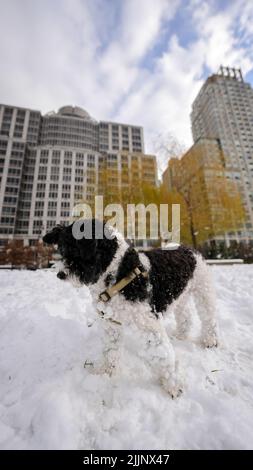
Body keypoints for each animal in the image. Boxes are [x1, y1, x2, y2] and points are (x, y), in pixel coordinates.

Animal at [43, 219, 217, 396]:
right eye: (62, 250)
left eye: (76, 249)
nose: (60, 275)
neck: (118, 274)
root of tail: (188, 249)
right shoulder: (112, 324)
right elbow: (110, 350)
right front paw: (106, 372)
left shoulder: (148, 324)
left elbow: (162, 354)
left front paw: (173, 385)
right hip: (181, 296)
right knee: (185, 316)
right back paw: (181, 336)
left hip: (203, 291)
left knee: (208, 317)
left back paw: (210, 340)